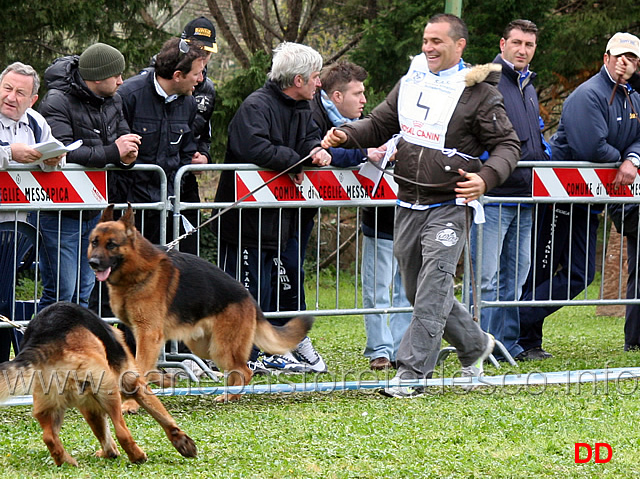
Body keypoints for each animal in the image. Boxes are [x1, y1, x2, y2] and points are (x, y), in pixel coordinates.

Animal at [0, 304, 198, 464]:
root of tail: (44, 341)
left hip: (49, 406)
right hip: (109, 392)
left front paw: (109, 452)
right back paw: (137, 456)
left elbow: (103, 433)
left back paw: (66, 461)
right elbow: (163, 416)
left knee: (49, 437)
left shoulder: (89, 407)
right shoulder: (133, 385)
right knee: (122, 431)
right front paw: (181, 440)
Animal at [87, 204, 312, 410]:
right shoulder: (137, 335)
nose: (93, 263)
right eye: (94, 242)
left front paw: (132, 404)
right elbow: (140, 367)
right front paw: (162, 381)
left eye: (112, 244)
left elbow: (140, 369)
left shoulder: (148, 334)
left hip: (221, 348)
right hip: (203, 346)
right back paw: (228, 395)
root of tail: (249, 298)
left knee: (244, 371)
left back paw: (230, 396)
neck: (137, 271)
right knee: (236, 370)